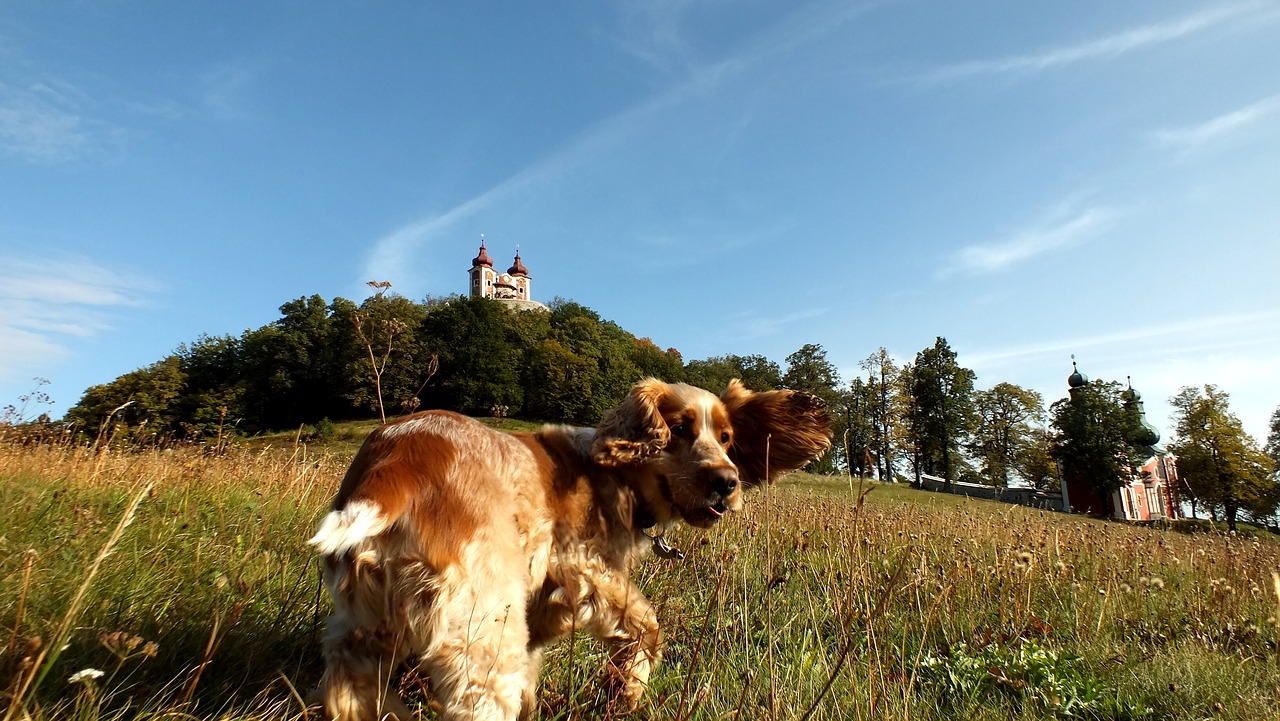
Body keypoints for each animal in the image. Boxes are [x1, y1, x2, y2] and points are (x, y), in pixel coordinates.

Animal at [307, 379, 829, 721]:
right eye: (678, 429)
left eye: (726, 438)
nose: (727, 482)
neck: (616, 478)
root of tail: (395, 460)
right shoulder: (582, 569)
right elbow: (647, 625)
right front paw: (625, 691)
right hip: (483, 628)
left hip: (369, 621)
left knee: (346, 680)